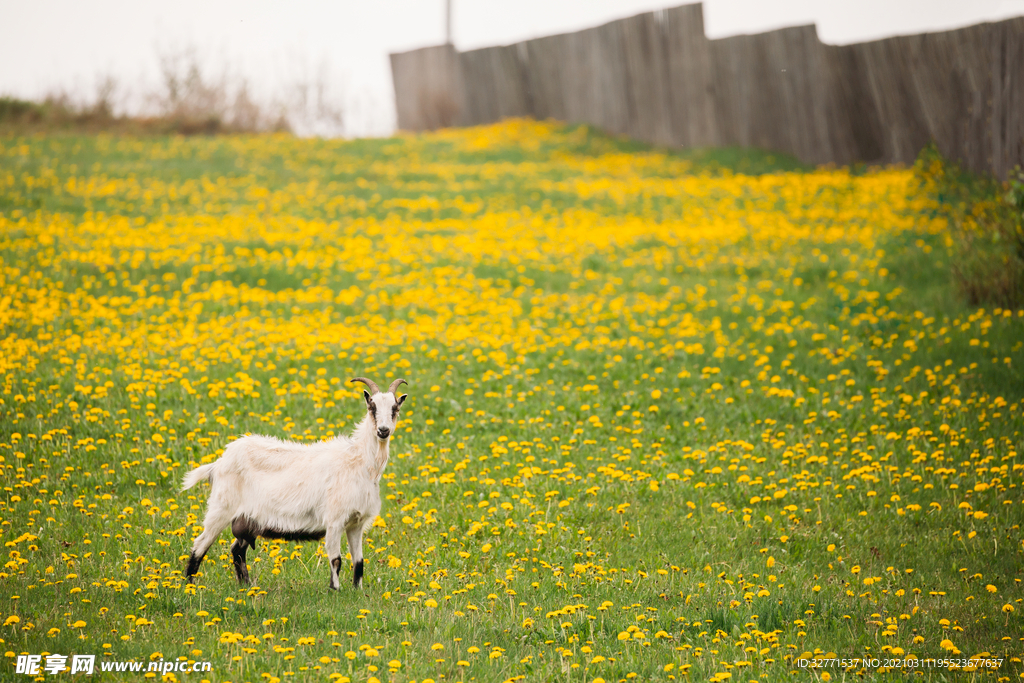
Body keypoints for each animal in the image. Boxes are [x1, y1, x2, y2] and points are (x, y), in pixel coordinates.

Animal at [182, 376, 405, 589]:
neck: (359, 462)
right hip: (221, 508)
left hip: (247, 519)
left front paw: (357, 591)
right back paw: (189, 586)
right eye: (372, 407)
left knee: (237, 550)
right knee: (200, 545)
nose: (383, 430)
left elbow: (359, 562)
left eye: (395, 409)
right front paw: (335, 591)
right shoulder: (334, 520)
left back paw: (245, 585)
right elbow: (336, 560)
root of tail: (218, 463)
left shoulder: (356, 523)